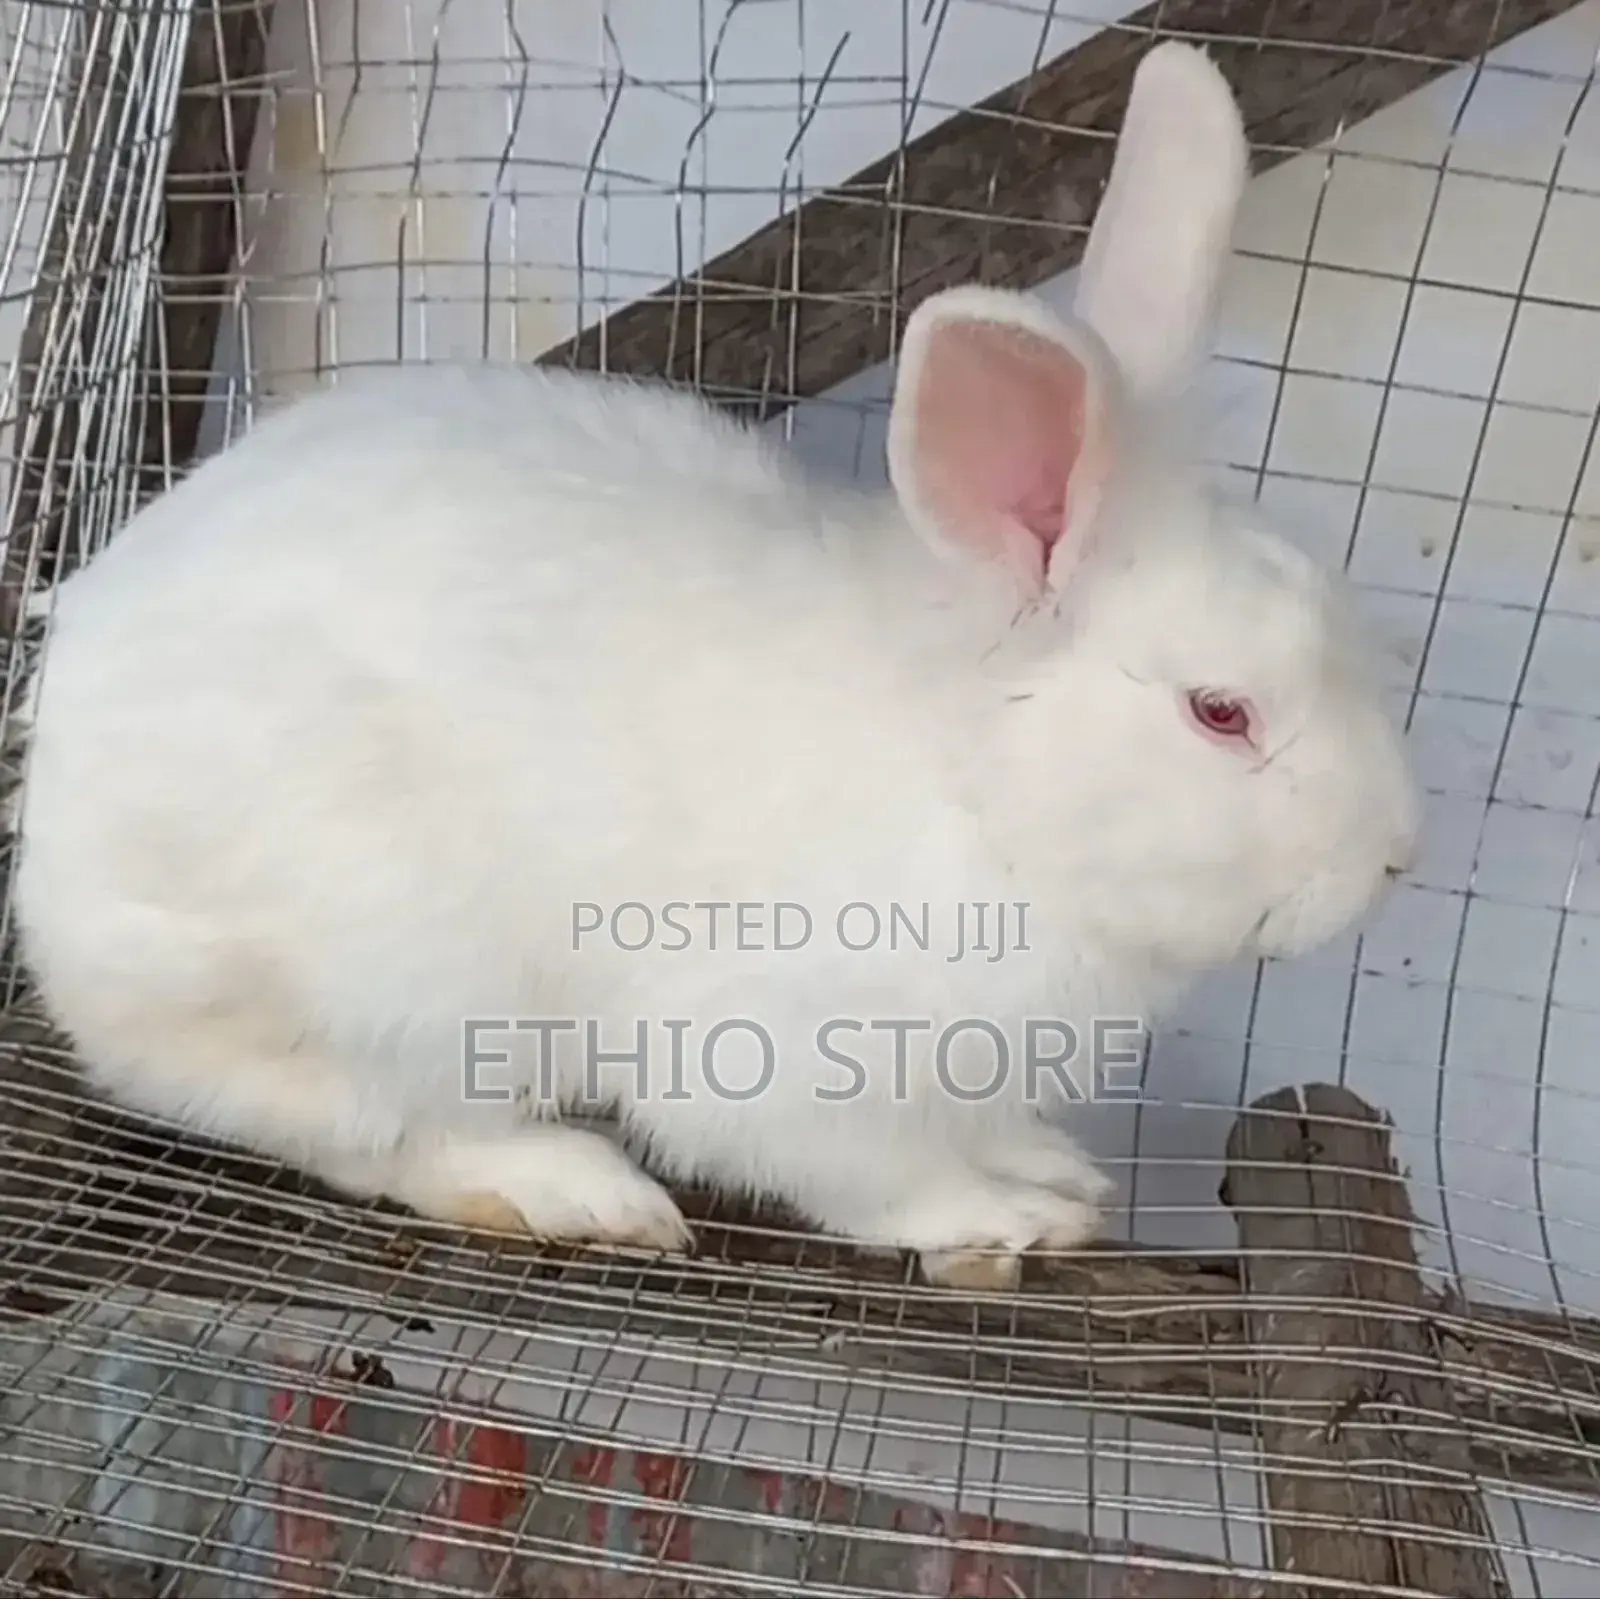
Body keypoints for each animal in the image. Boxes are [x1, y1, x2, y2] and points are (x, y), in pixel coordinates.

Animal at [7, 40, 1418, 1292]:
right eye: (1220, 712)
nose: (1392, 861)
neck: (980, 786)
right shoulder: (779, 1046)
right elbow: (862, 1171)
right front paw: (1003, 1220)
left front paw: (1051, 1174)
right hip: (391, 964)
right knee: (364, 1128)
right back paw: (573, 1190)